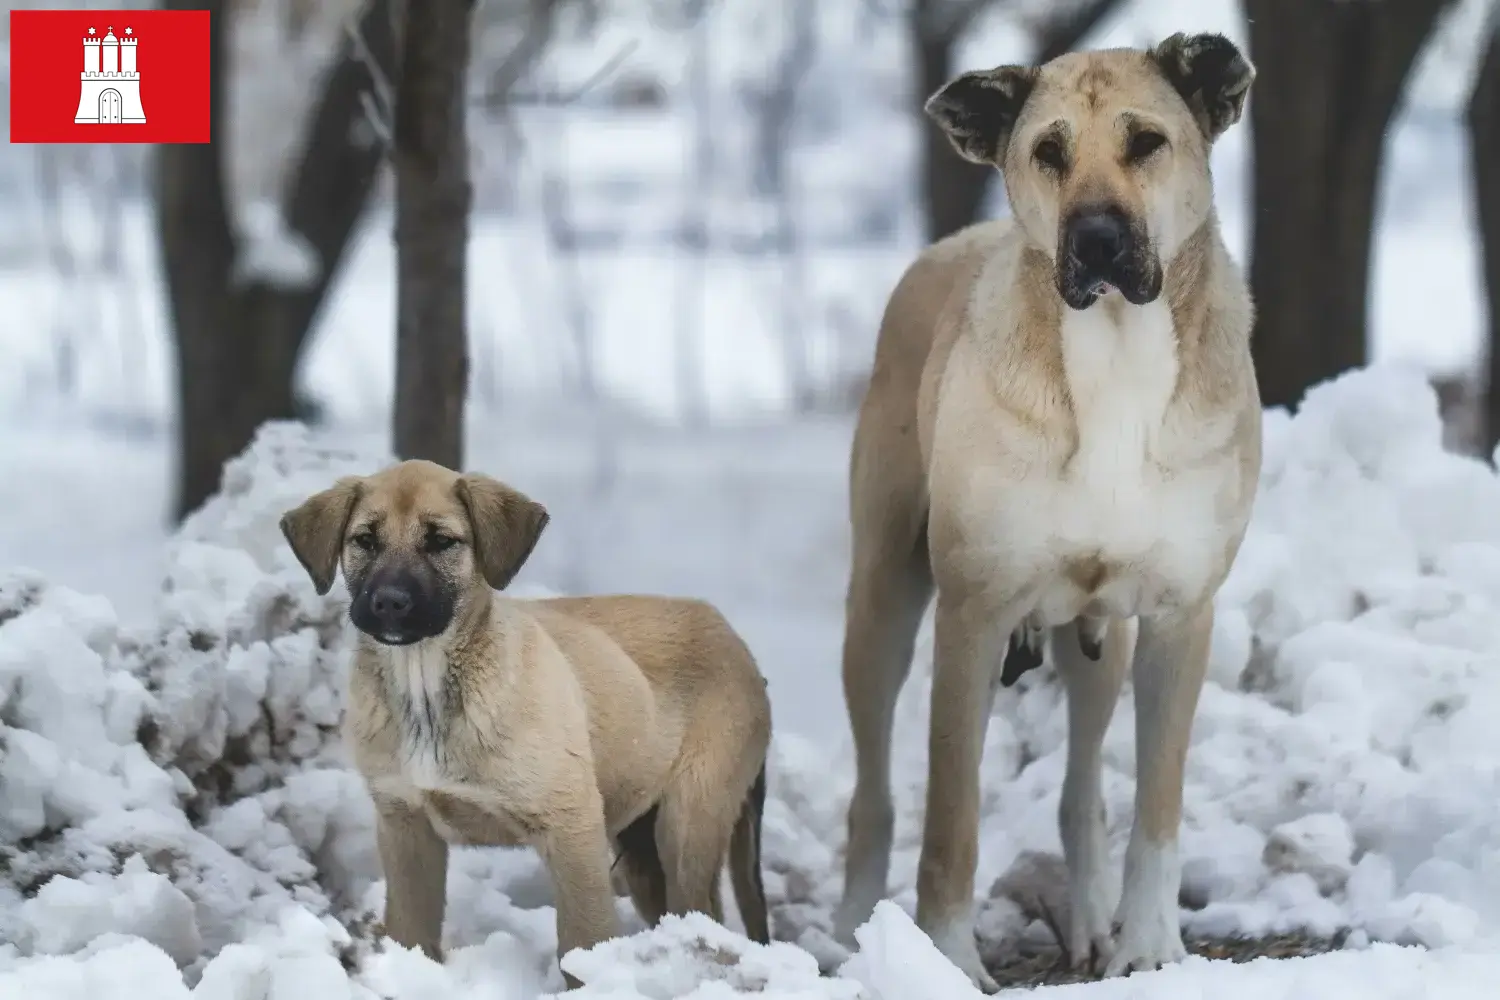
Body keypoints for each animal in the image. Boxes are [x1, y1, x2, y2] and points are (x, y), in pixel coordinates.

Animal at [279, 461, 774, 983]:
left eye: (441, 541)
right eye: (364, 541)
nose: (390, 603)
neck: (426, 687)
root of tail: (735, 640)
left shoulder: (570, 825)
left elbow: (583, 941)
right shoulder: (405, 823)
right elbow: (410, 933)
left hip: (688, 824)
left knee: (709, 924)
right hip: (643, 849)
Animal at [834, 33, 1266, 995]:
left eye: (1147, 142)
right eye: (1048, 152)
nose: (1097, 237)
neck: (1115, 355)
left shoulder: (1181, 615)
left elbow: (1156, 807)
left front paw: (1150, 947)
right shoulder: (971, 614)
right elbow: (951, 818)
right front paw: (947, 957)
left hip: (1100, 638)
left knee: (1080, 784)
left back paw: (1094, 917)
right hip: (881, 603)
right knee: (875, 789)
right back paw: (851, 930)